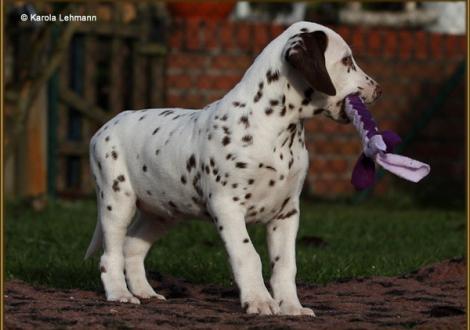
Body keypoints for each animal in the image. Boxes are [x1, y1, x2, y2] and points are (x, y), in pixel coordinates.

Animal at [85, 21, 382, 318]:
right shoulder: (227, 206)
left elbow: (285, 264)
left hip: (161, 213)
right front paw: (260, 301)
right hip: (117, 203)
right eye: (346, 60)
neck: (275, 130)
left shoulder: (287, 212)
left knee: (131, 247)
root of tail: (104, 127)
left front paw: (291, 306)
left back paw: (145, 292)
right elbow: (249, 255)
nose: (378, 89)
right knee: (110, 255)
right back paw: (120, 294)